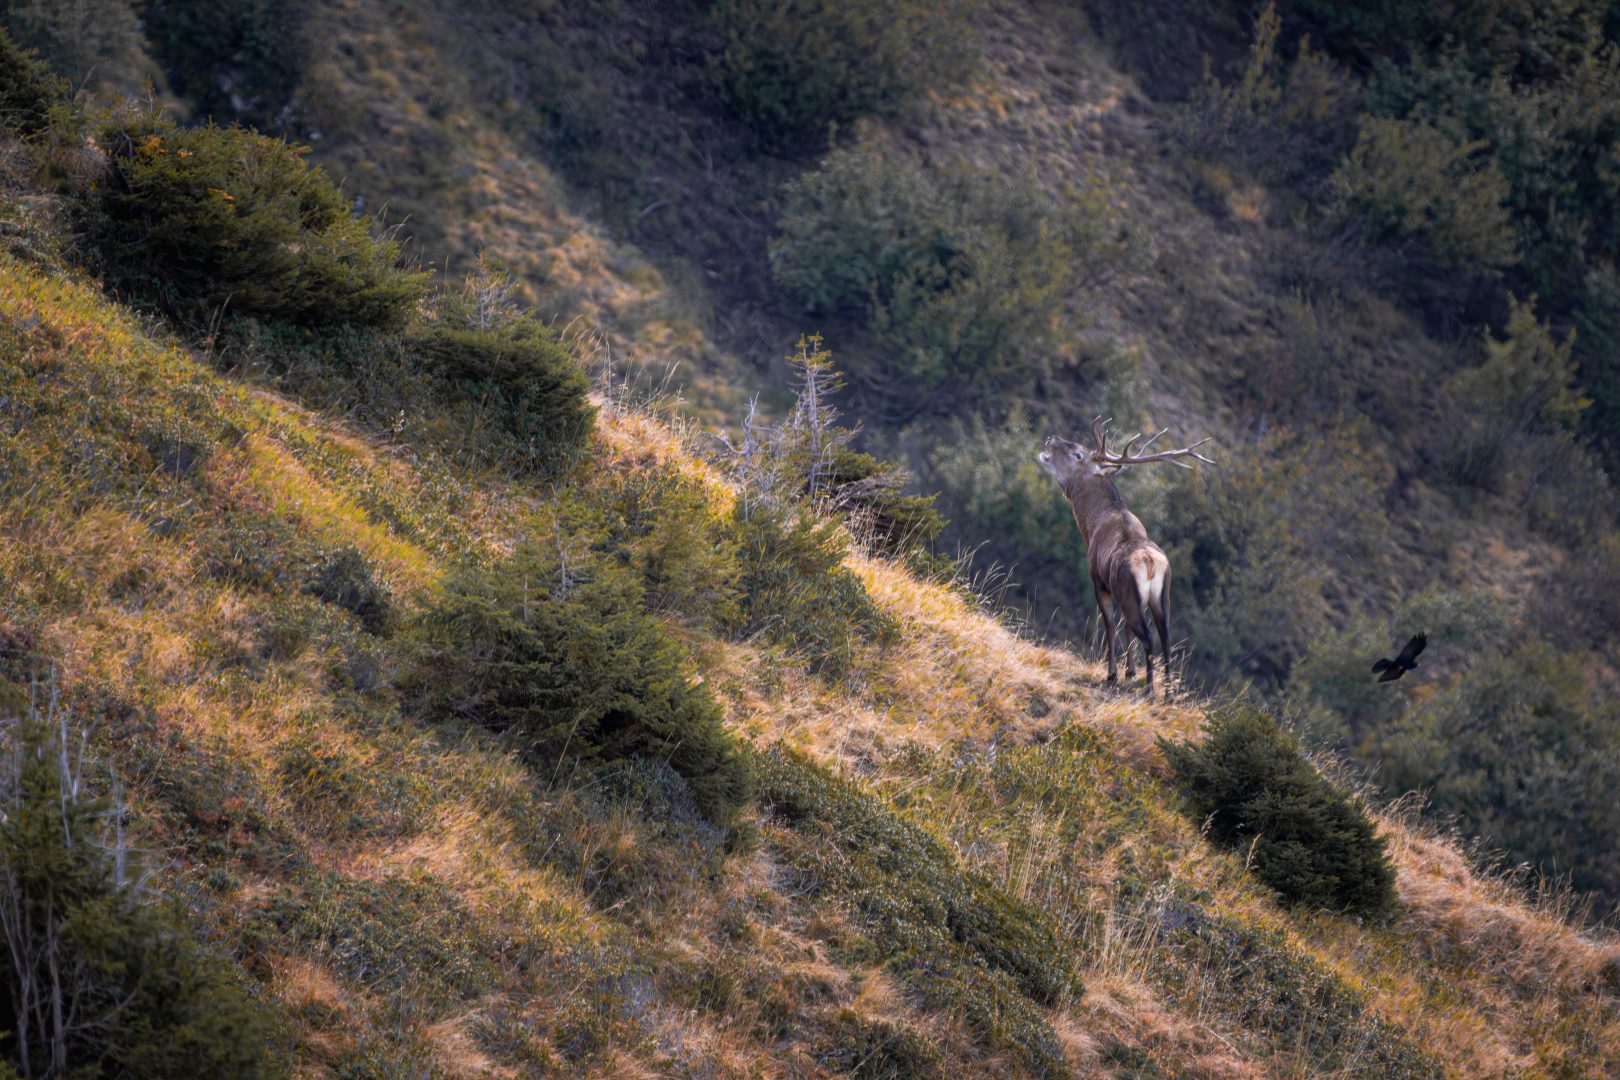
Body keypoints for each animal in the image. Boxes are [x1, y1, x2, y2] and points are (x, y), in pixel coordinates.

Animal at [1038, 418, 1212, 695]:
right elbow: (1125, 627)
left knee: (1148, 637)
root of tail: (1151, 564)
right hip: (1162, 596)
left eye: (1078, 454)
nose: (1051, 438)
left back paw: (1150, 690)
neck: (1091, 525)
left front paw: (1113, 673)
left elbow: (1110, 624)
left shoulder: (1098, 581)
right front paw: (1129, 670)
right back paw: (1169, 693)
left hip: (1130, 592)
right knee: (1165, 639)